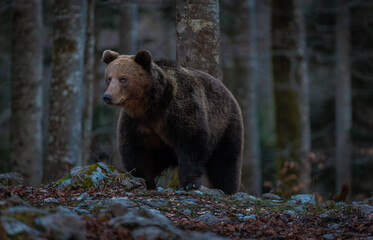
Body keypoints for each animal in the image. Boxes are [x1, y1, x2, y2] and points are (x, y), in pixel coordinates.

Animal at [100, 49, 243, 194]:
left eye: (123, 79)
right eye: (109, 78)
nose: (107, 97)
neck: (152, 105)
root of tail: (228, 91)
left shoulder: (179, 110)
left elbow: (191, 143)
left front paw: (190, 183)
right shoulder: (137, 122)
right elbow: (135, 149)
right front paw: (143, 178)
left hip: (224, 125)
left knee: (225, 162)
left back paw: (228, 189)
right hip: (165, 149)